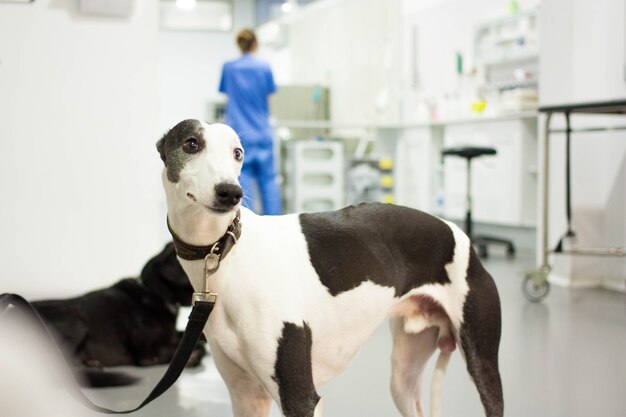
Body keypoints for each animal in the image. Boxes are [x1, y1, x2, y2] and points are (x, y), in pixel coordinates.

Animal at [31, 242, 205, 386]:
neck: (154, 293)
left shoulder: (174, 336)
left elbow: (194, 339)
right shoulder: (149, 355)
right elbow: (186, 349)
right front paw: (193, 356)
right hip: (75, 321)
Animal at [157, 119, 502, 416]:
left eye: (237, 153)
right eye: (191, 143)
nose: (230, 192)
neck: (228, 254)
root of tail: (460, 234)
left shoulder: (300, 397)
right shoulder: (246, 396)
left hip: (482, 363)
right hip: (403, 378)